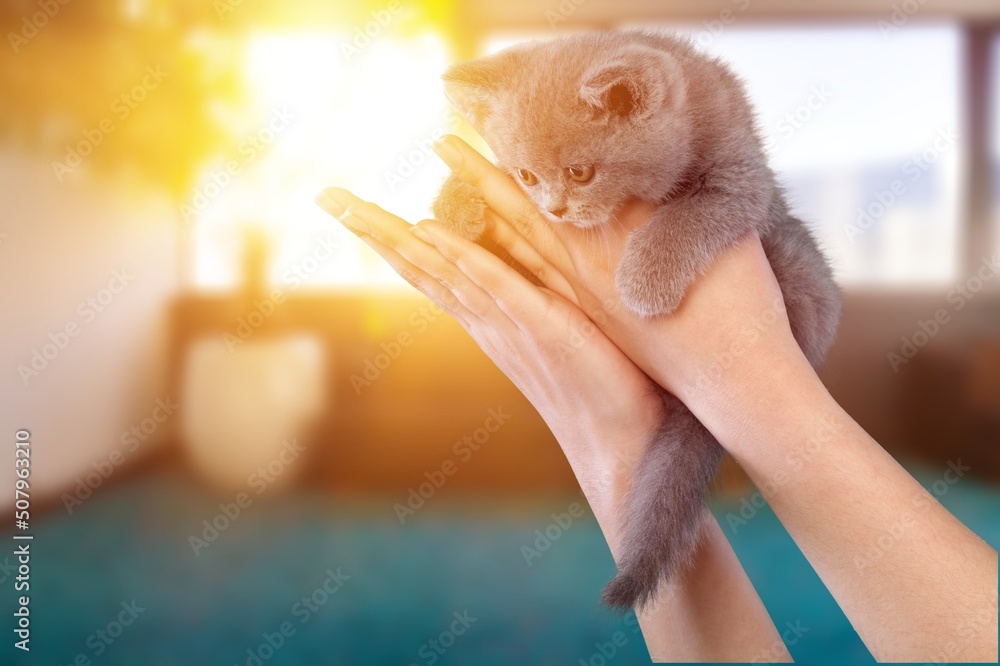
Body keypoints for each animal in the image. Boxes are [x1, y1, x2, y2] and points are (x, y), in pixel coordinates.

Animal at [432, 32, 844, 612]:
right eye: (526, 176)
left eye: (580, 172)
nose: (555, 210)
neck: (693, 109)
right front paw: (454, 201)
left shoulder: (742, 178)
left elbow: (692, 211)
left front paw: (645, 278)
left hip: (795, 262)